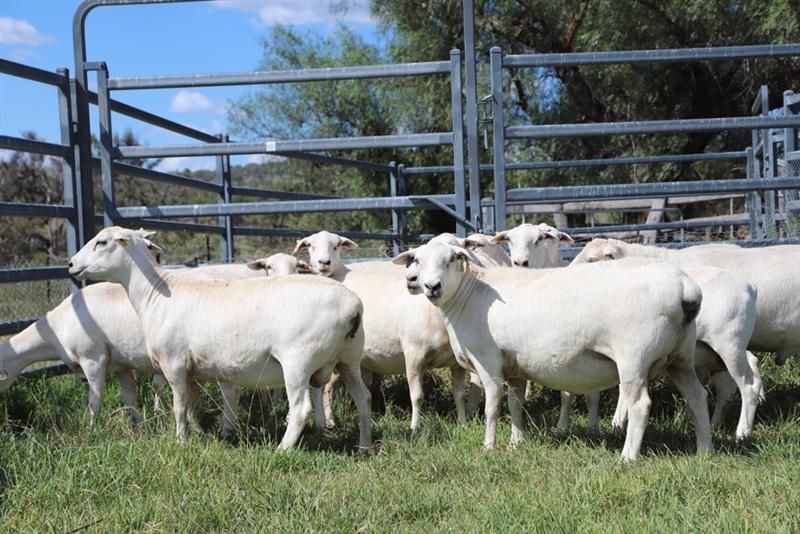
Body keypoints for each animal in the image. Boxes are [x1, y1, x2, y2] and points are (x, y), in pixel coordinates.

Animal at [68, 227, 371, 449]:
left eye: (101, 242)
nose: (70, 264)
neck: (154, 294)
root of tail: (353, 305)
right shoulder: (194, 371)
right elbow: (190, 405)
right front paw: (198, 434)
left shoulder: (174, 364)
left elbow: (179, 407)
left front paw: (180, 442)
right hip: (349, 358)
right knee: (363, 398)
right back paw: (364, 446)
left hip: (298, 361)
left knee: (300, 409)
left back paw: (281, 450)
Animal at [293, 230, 466, 431]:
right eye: (417, 259)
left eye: (453, 257)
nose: (430, 285)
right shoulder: (413, 355)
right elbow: (417, 397)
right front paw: (414, 428)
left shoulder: (456, 363)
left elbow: (459, 394)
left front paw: (463, 424)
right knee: (322, 387)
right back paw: (326, 423)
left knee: (328, 387)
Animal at [393, 241, 712, 461]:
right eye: (417, 260)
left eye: (451, 259)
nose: (431, 286)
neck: (469, 296)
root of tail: (686, 289)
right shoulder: (514, 368)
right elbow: (516, 405)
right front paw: (515, 444)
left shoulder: (489, 362)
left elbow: (492, 407)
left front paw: (489, 447)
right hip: (680, 357)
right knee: (698, 396)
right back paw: (704, 450)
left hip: (634, 357)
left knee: (641, 405)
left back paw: (628, 457)